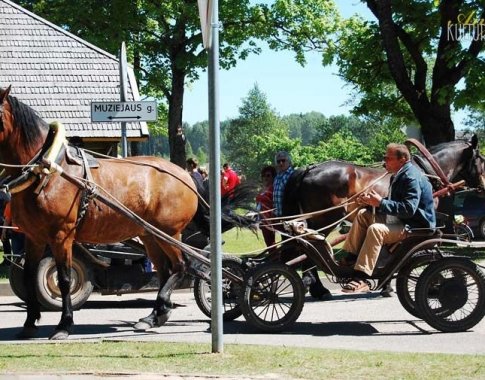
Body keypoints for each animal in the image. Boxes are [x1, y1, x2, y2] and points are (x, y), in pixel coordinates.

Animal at [0, 87, 210, 340]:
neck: (48, 171)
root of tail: (185, 175)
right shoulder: (34, 237)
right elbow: (29, 276)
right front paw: (30, 322)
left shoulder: (62, 235)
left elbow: (64, 279)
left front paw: (64, 324)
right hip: (150, 235)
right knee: (164, 271)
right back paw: (154, 316)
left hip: (168, 232)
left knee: (180, 266)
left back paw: (161, 307)